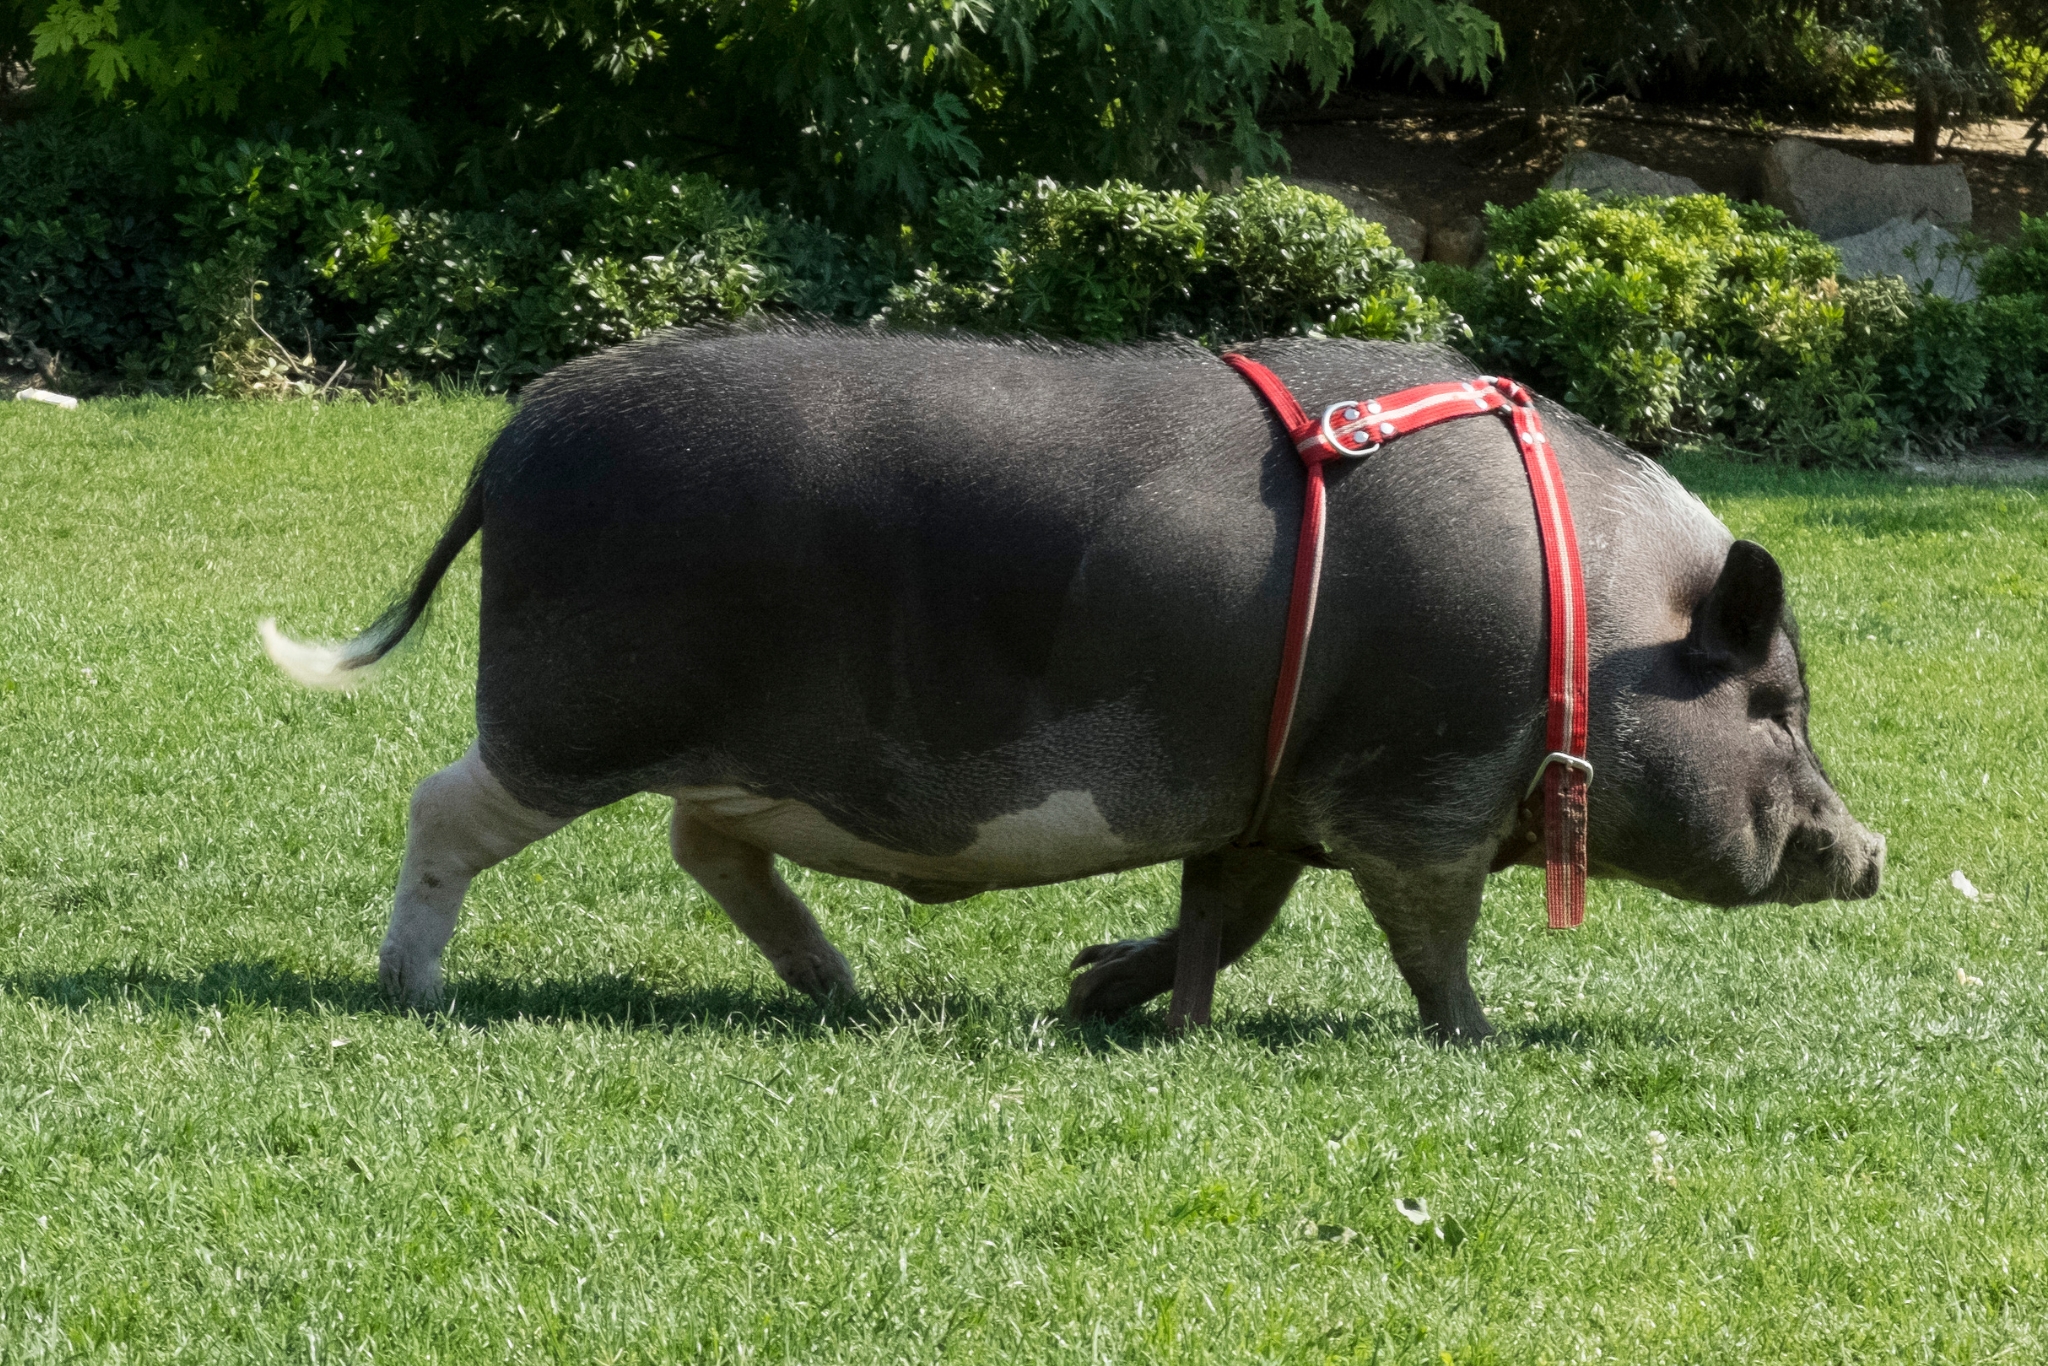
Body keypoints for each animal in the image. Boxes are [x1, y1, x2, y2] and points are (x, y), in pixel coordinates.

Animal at [261, 323, 1884, 1040]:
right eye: (1773, 708)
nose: (1872, 850)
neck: (1588, 631)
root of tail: (518, 428)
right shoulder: (1413, 792)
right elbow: (1428, 936)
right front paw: (1475, 1041)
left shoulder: (1267, 797)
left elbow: (1224, 919)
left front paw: (1104, 993)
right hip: (571, 715)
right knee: (444, 804)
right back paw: (412, 989)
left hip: (736, 752)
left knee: (705, 844)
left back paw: (847, 991)